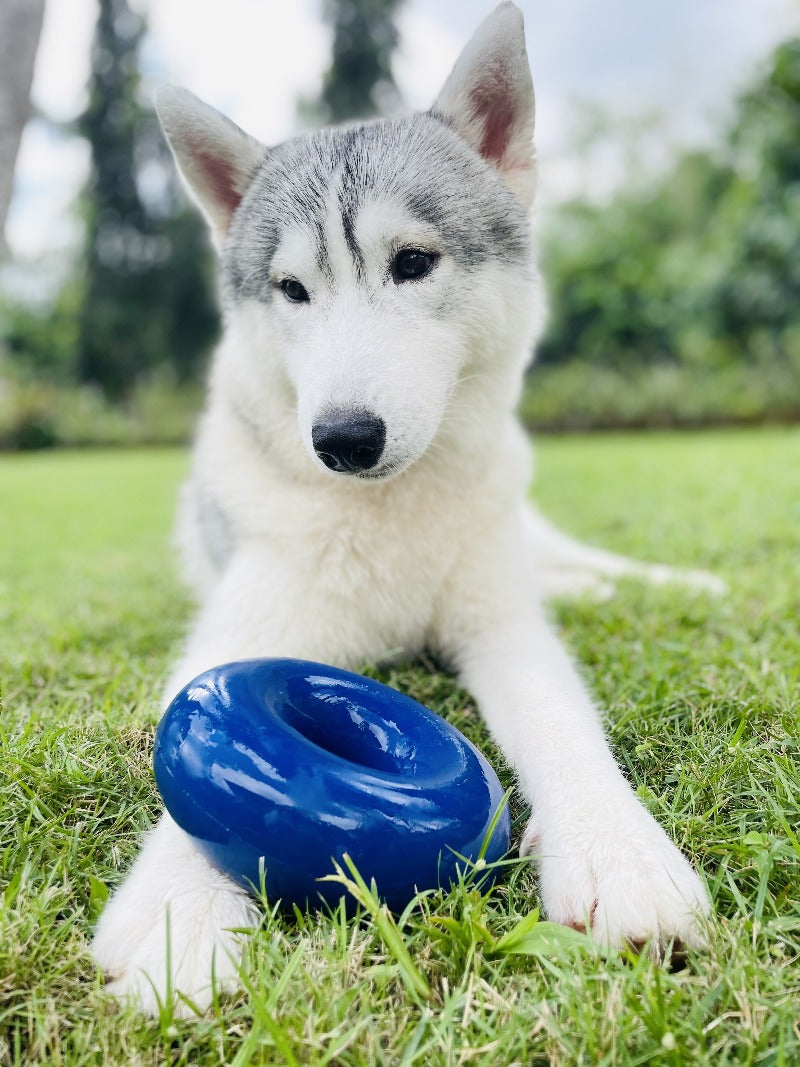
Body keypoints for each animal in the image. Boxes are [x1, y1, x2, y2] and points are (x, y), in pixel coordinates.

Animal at [90, 2, 716, 1015]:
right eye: (292, 291)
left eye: (414, 263)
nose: (343, 438)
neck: (387, 515)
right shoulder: (241, 632)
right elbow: (196, 732)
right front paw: (180, 907)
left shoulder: (501, 625)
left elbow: (562, 720)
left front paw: (617, 847)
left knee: (579, 565)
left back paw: (663, 585)